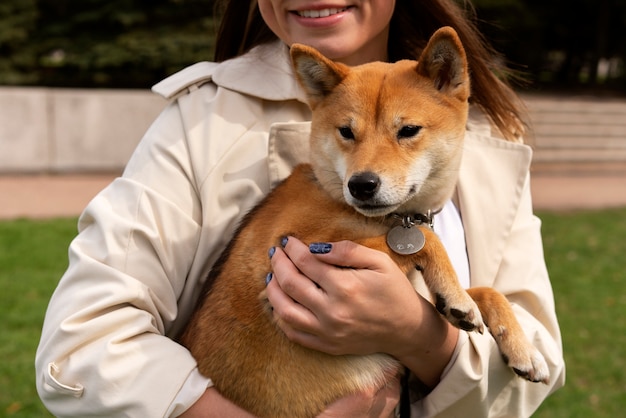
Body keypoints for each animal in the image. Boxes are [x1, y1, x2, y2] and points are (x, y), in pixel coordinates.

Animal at [179, 27, 544, 418]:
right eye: (346, 132)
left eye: (408, 130)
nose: (361, 184)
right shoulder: (292, 252)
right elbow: (430, 242)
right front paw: (456, 296)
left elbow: (489, 292)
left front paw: (523, 349)